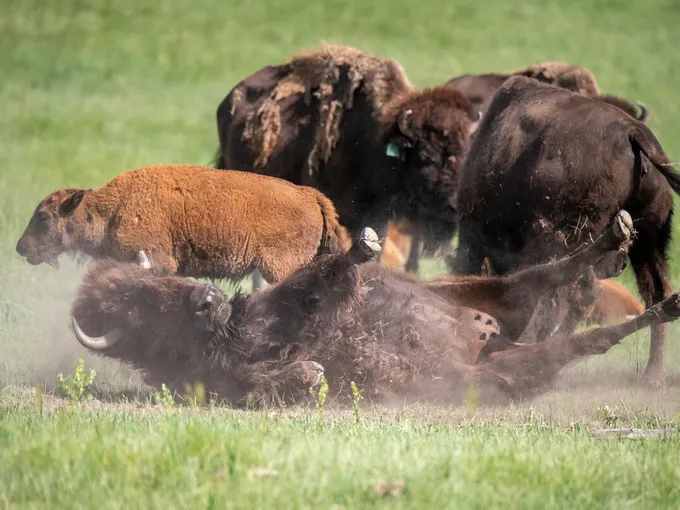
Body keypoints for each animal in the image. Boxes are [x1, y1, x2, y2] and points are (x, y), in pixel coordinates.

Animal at [68, 211, 680, 407]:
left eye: (160, 279)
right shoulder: (230, 382)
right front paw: (310, 374)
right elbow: (290, 372)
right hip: (495, 372)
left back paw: (618, 237)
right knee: (583, 341)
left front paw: (360, 246)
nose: (208, 299)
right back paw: (665, 307)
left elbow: (319, 281)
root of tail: (491, 341)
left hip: (473, 289)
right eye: (136, 308)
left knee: (542, 275)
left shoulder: (286, 301)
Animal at [452, 75, 679, 385]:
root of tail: (634, 133)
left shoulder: (473, 233)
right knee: (655, 292)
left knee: (579, 292)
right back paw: (651, 375)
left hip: (585, 238)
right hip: (649, 242)